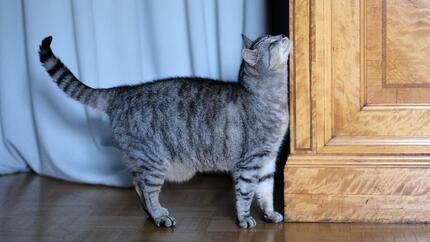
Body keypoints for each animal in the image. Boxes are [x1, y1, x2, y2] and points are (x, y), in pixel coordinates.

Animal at [38, 34, 292, 229]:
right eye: (271, 43)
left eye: (273, 36)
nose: (283, 34)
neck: (276, 101)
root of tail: (122, 91)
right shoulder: (249, 162)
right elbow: (246, 194)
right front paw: (245, 219)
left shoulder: (268, 159)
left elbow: (266, 191)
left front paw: (270, 214)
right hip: (155, 161)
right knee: (146, 189)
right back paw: (159, 216)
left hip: (142, 159)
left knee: (137, 183)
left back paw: (154, 215)